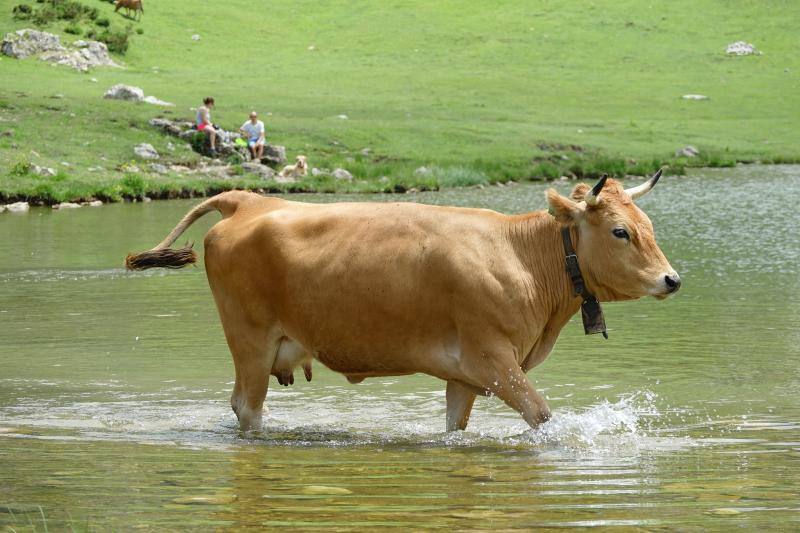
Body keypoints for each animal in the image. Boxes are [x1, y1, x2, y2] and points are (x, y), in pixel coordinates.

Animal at [126, 172, 680, 430]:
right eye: (620, 231)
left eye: (649, 225)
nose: (672, 279)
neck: (520, 253)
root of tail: (247, 200)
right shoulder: (495, 359)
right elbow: (542, 417)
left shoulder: (464, 375)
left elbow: (455, 427)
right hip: (250, 341)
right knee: (247, 408)